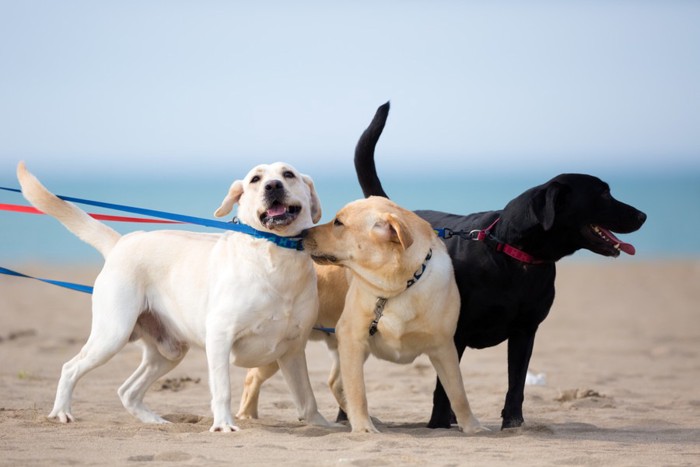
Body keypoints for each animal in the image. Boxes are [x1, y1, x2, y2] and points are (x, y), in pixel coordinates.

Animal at [17, 161, 330, 432]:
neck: (276, 255)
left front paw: (322, 424)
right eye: (255, 179)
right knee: (70, 368)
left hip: (168, 351)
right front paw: (223, 425)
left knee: (127, 390)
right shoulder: (220, 336)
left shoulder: (293, 349)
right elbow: (223, 389)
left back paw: (155, 421)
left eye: (288, 174)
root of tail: (123, 241)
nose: (273, 186)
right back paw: (61, 412)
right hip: (113, 334)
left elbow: (306, 395)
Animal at [304, 197, 484, 436]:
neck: (396, 287)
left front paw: (472, 426)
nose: (301, 233)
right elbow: (358, 391)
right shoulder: (351, 337)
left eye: (338, 222)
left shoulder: (444, 345)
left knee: (335, 383)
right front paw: (363, 428)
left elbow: (458, 392)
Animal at [352, 103, 648, 432]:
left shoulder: (525, 330)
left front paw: (513, 424)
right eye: (604, 193)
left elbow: (516, 384)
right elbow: (445, 388)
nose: (643, 215)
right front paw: (439, 424)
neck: (513, 255)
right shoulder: (454, 335)